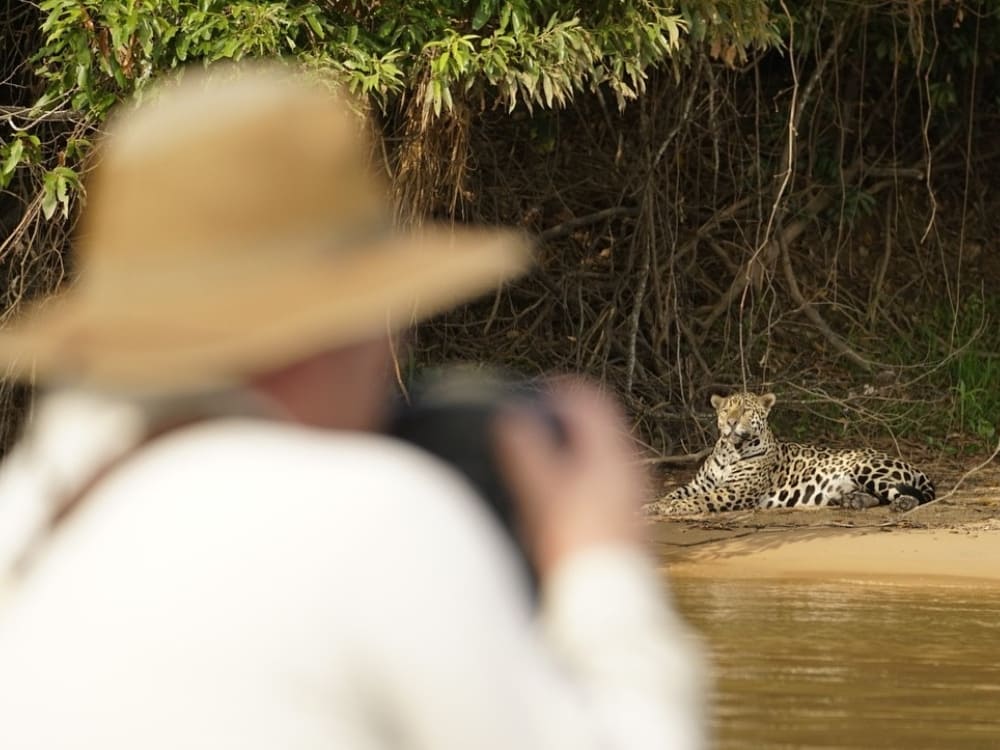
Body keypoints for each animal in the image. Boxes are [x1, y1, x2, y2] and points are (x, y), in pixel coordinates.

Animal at [645, 391, 936, 516]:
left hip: (867, 467)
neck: (730, 450)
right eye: (726, 410)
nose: (731, 422)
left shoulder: (736, 490)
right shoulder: (699, 483)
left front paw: (672, 508)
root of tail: (911, 464)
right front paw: (651, 505)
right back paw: (853, 501)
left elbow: (701, 499)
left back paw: (901, 504)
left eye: (746, 410)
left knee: (910, 496)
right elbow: (675, 493)